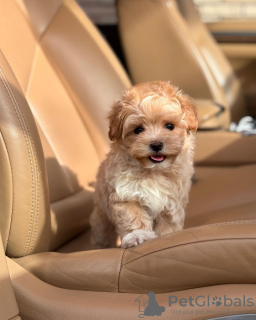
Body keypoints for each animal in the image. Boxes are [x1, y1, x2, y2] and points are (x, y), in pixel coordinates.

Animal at [90, 81, 198, 249]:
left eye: (169, 126)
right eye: (138, 129)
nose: (156, 144)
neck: (153, 171)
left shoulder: (172, 202)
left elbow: (168, 224)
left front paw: (167, 237)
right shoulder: (126, 193)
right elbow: (133, 217)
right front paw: (138, 236)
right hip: (101, 216)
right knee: (101, 234)